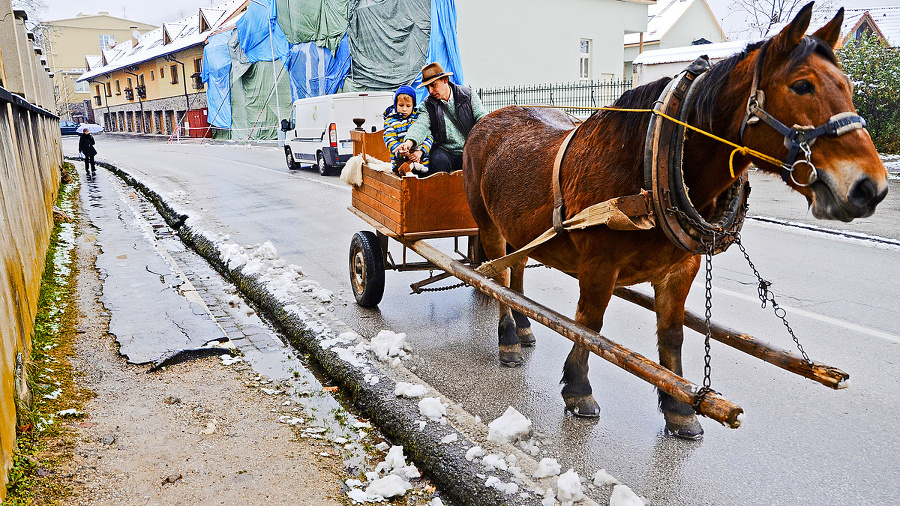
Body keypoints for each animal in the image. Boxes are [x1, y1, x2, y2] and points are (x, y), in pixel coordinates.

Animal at [464, 2, 884, 438]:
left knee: (515, 270)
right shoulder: (598, 265)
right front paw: (578, 389)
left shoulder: (681, 268)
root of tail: (486, 120)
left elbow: (673, 333)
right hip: (488, 224)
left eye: (849, 86)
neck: (647, 167)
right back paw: (509, 338)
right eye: (803, 85)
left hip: (520, 229)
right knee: (496, 276)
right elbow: (590, 323)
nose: (870, 187)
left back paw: (523, 324)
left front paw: (679, 407)